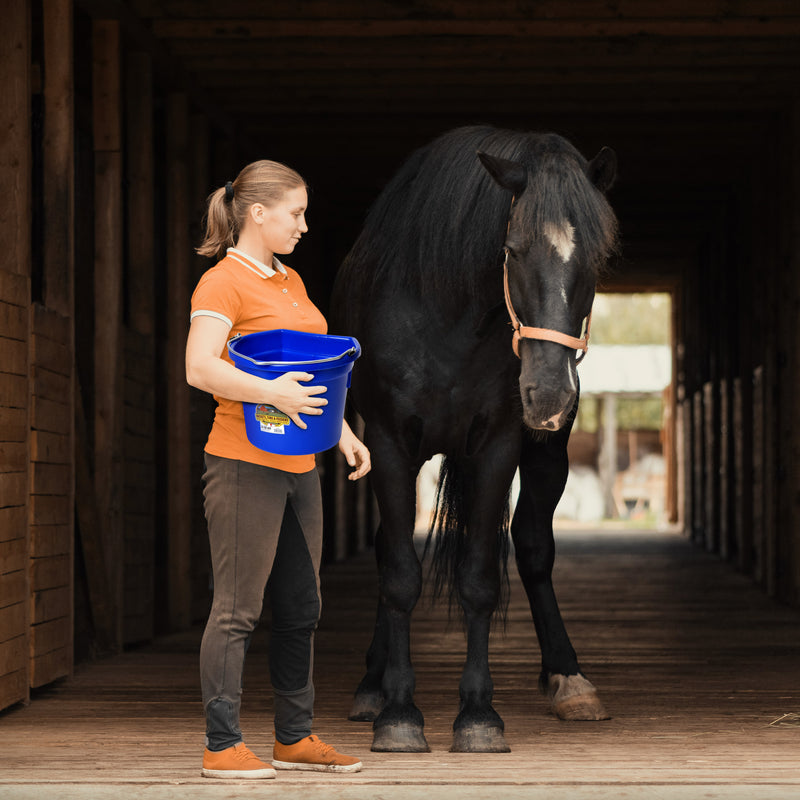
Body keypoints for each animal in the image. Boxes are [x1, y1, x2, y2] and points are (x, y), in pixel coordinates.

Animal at [332, 123, 620, 752]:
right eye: (511, 251)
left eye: (598, 257)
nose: (548, 394)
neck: (447, 320)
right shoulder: (389, 446)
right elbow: (399, 574)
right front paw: (399, 713)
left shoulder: (497, 449)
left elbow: (481, 579)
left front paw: (479, 716)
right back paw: (371, 686)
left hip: (544, 456)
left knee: (534, 547)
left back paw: (569, 678)